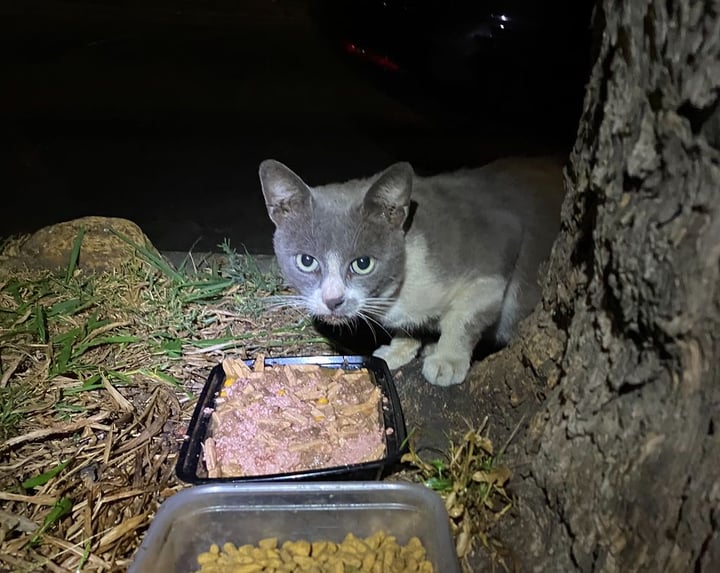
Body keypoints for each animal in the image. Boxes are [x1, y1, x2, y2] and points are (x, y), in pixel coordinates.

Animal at [256, 156, 564, 384]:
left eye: (363, 263)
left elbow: (465, 316)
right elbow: (408, 327)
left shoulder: (497, 242)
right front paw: (399, 348)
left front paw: (448, 359)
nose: (333, 300)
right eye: (307, 261)